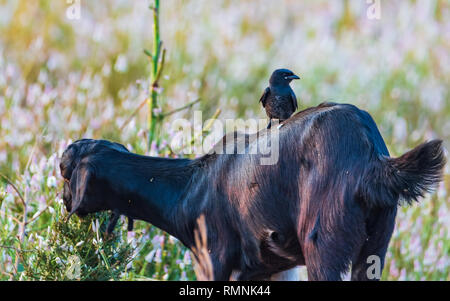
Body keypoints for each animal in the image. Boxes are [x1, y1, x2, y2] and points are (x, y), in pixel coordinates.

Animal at [60, 102, 446, 278]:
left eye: (65, 171)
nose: (63, 205)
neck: (190, 188)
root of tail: (370, 155)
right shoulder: (274, 268)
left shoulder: (213, 257)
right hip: (375, 247)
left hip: (324, 244)